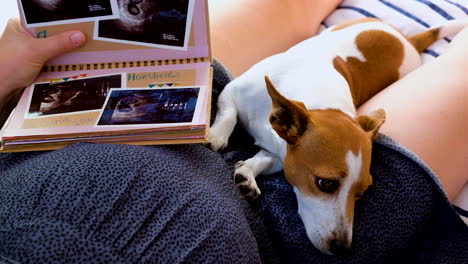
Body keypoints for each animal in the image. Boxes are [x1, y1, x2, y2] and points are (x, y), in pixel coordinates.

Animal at [209, 17, 468, 255]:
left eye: (362, 192)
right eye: (326, 184)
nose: (343, 249)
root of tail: (409, 40)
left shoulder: (282, 153)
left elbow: (263, 159)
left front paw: (248, 172)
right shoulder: (232, 91)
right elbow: (228, 112)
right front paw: (216, 135)